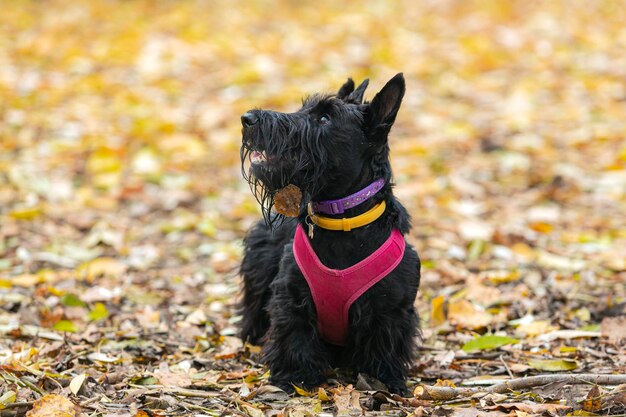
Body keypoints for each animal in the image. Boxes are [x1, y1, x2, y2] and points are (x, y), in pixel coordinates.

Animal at [238, 73, 420, 394]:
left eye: (324, 118)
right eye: (303, 108)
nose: (247, 118)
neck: (342, 222)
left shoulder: (391, 309)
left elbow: (384, 345)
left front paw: (385, 378)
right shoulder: (291, 298)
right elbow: (295, 337)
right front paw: (295, 376)